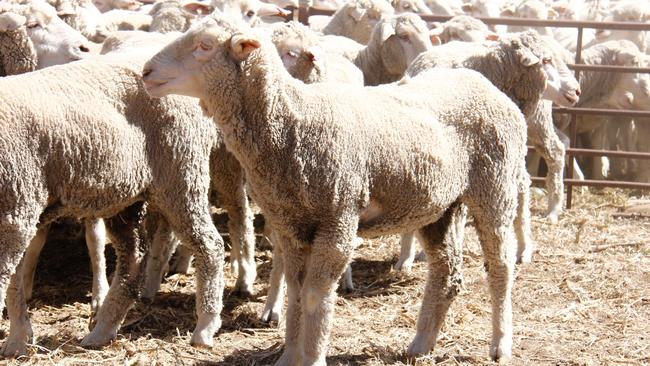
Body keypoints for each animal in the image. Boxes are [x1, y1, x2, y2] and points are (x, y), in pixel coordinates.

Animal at [0, 47, 229, 356]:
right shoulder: (19, 212)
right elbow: (14, 282)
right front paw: (18, 341)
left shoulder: (17, 210)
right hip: (123, 198)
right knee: (133, 259)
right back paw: (103, 330)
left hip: (181, 173)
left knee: (210, 246)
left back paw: (205, 326)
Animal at [140, 12, 528, 364]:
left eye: (205, 45)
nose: (145, 72)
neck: (294, 122)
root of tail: (483, 82)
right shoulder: (291, 225)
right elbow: (296, 293)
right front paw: (288, 357)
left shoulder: (337, 218)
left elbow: (315, 296)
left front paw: (312, 357)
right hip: (440, 207)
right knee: (447, 271)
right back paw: (421, 344)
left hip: (495, 187)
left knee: (501, 267)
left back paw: (500, 344)